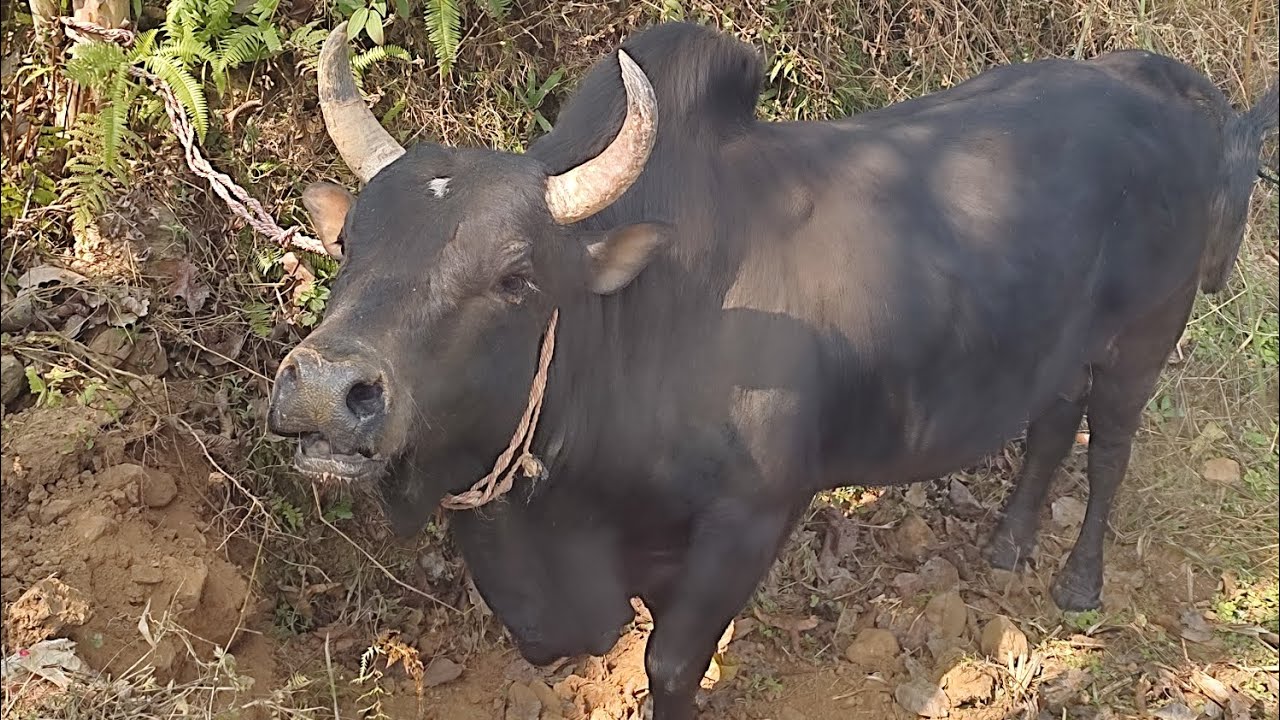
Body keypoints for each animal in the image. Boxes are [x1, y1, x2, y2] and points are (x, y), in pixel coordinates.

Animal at [266, 20, 1278, 719]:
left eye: (517, 274)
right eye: (348, 243)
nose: (326, 391)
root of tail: (1161, 82)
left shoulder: (752, 517)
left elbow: (671, 665)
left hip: (1147, 337)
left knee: (1110, 449)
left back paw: (1077, 581)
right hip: (1063, 345)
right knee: (1052, 421)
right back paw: (1008, 542)